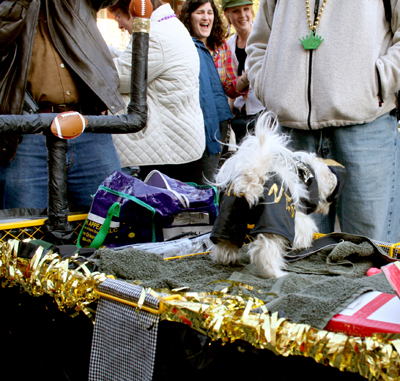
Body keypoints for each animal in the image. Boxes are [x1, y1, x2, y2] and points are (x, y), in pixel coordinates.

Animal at [209, 111, 346, 278]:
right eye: (330, 199)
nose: (327, 209)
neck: (310, 174)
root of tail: (253, 178)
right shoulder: (297, 218)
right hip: (275, 219)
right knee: (265, 249)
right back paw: (276, 273)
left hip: (229, 215)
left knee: (226, 242)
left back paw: (227, 261)